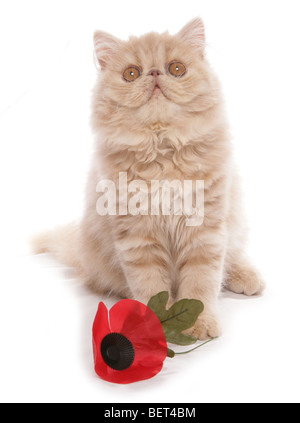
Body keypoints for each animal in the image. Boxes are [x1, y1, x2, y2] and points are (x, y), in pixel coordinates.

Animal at [32, 19, 264, 342]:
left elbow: (202, 282)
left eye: (176, 68)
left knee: (233, 256)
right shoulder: (138, 237)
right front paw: (158, 325)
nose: (154, 73)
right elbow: (151, 285)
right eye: (132, 73)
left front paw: (200, 324)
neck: (162, 150)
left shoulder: (205, 230)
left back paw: (248, 277)